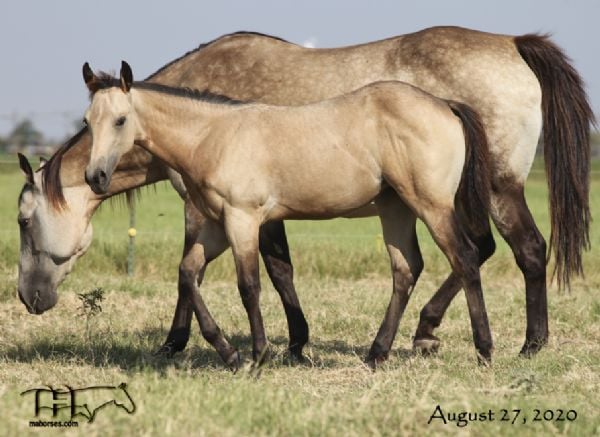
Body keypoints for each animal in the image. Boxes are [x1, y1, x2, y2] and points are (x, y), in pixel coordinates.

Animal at [17, 26, 592, 362]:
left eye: (23, 220)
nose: (28, 298)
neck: (207, 120)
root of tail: (512, 43)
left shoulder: (221, 210)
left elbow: (238, 275)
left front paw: (185, 344)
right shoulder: (241, 213)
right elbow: (258, 270)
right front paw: (290, 342)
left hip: (487, 189)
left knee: (515, 251)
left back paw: (518, 344)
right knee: (454, 258)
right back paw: (412, 338)